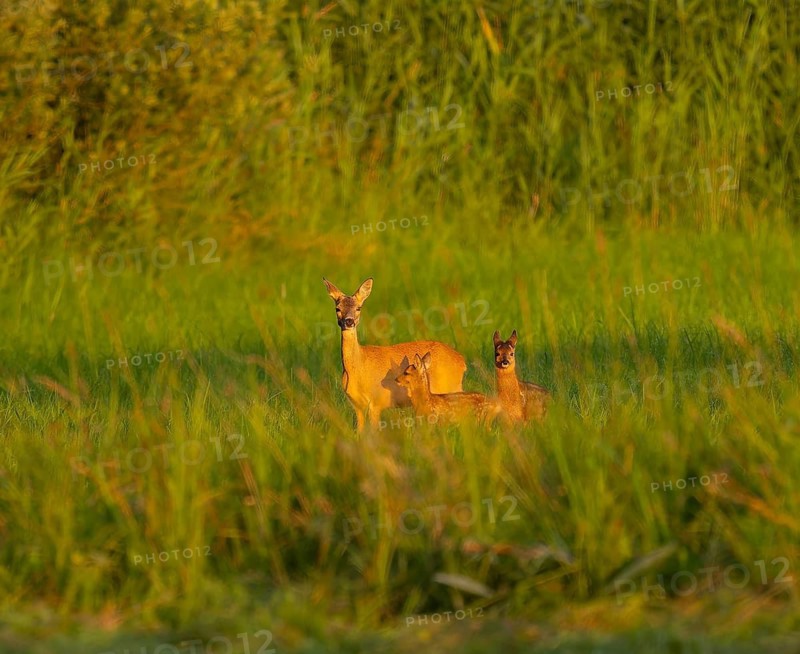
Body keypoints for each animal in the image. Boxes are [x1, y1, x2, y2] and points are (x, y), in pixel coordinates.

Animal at [323, 277, 467, 431]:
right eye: (337, 309)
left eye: (358, 308)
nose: (349, 321)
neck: (358, 367)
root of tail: (462, 361)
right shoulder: (357, 405)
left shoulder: (376, 402)